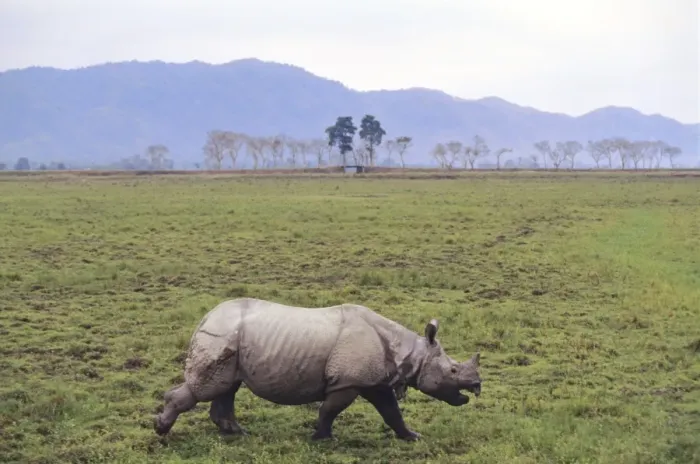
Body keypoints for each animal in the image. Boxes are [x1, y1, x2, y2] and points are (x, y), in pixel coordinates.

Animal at [154, 297, 482, 441]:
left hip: (230, 340)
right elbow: (329, 409)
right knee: (208, 388)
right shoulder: (348, 381)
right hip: (220, 336)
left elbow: (392, 412)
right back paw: (161, 430)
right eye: (453, 372)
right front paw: (323, 438)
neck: (411, 351)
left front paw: (412, 437)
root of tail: (206, 316)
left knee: (227, 387)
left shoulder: (374, 381)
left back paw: (236, 433)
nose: (476, 387)